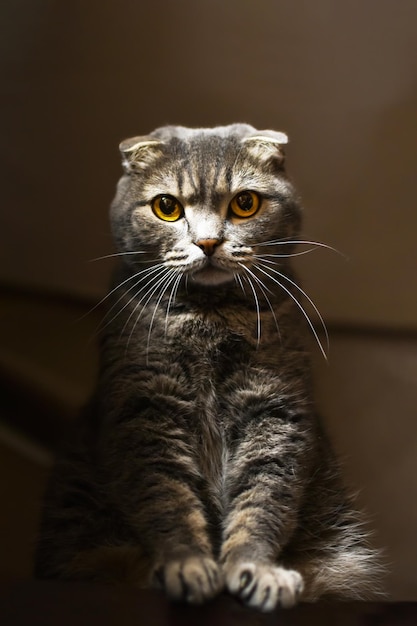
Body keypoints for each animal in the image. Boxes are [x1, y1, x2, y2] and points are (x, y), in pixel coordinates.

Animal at [35, 123, 380, 608]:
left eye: (245, 203)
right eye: (166, 207)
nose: (208, 242)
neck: (209, 316)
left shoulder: (273, 409)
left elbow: (263, 496)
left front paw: (256, 570)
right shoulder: (146, 409)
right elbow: (166, 498)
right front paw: (187, 566)